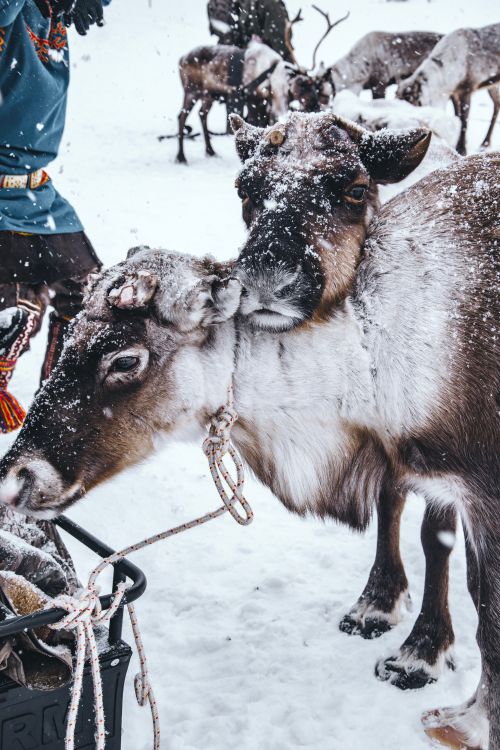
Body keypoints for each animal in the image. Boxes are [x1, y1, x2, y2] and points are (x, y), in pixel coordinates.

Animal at [0, 111, 498, 749]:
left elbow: (488, 613)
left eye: (125, 359)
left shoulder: (480, 487)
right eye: (246, 190)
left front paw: (466, 716)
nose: (18, 475)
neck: (367, 358)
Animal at [397, 23, 500, 155]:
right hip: (493, 84)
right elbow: (457, 116)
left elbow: (464, 120)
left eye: (413, 105)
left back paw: (484, 144)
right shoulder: (454, 93)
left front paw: (461, 149)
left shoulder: (466, 89)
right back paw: (485, 144)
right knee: (497, 104)